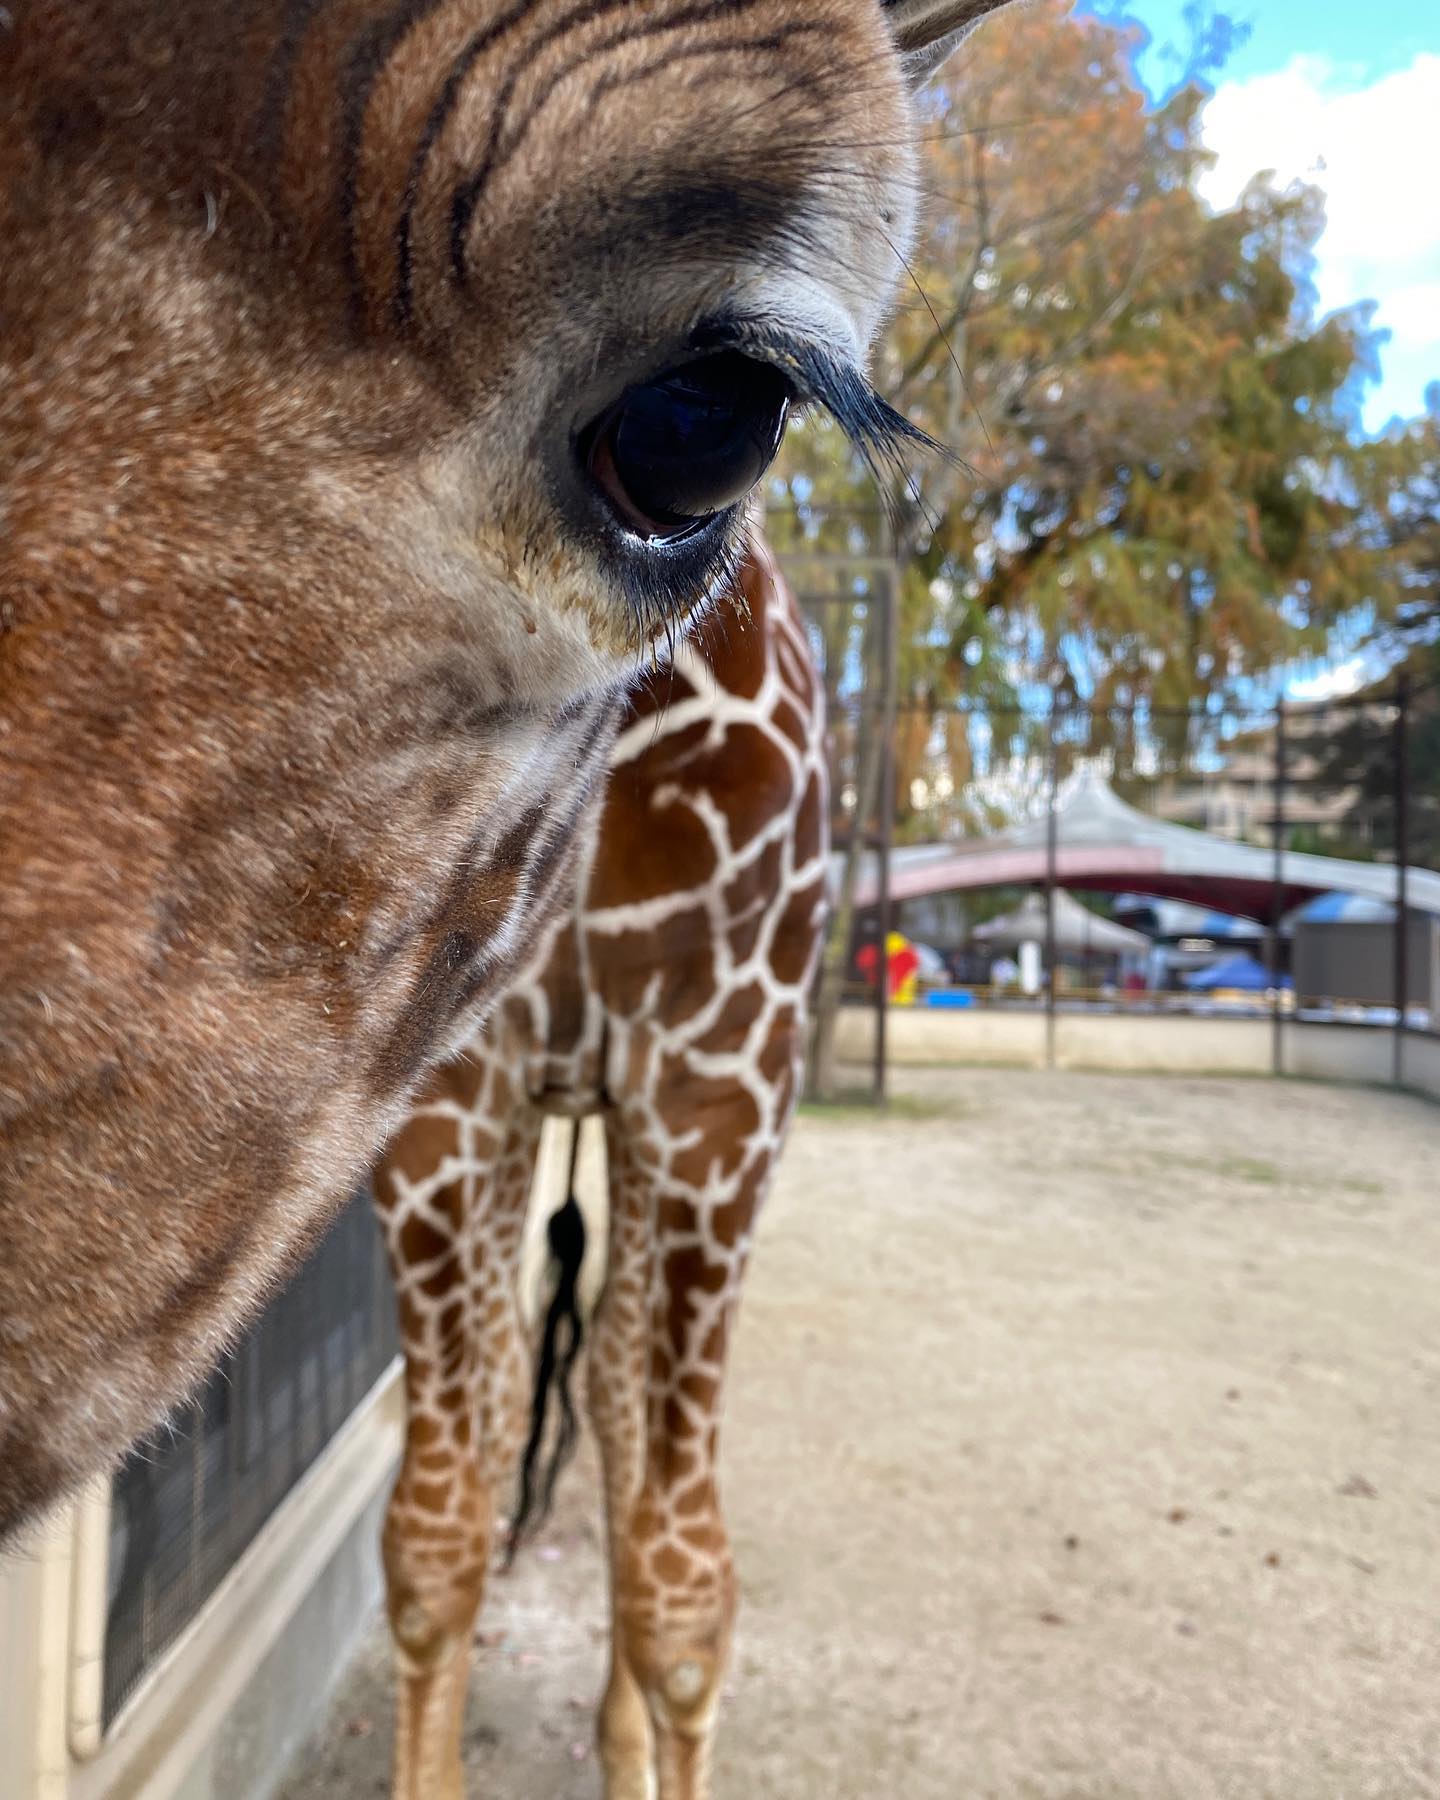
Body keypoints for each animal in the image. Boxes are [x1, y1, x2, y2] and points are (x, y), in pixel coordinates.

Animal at [373, 536, 828, 1800]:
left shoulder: (720, 1088)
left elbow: (686, 1602)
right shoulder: (443, 1092)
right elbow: (430, 1548)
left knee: (619, 1393)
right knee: (513, 1394)